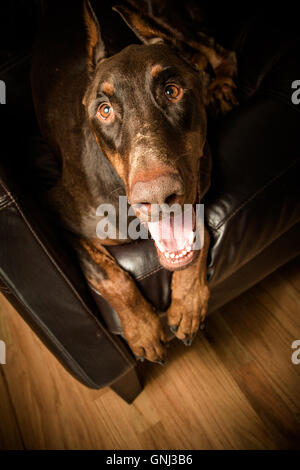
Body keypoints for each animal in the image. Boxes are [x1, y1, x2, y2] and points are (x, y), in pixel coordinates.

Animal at [30, 0, 237, 364]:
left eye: (172, 91)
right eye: (105, 110)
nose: (156, 197)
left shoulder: (203, 177)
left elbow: (199, 230)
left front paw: (188, 301)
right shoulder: (56, 215)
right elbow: (109, 275)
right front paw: (143, 329)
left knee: (217, 50)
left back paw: (220, 86)